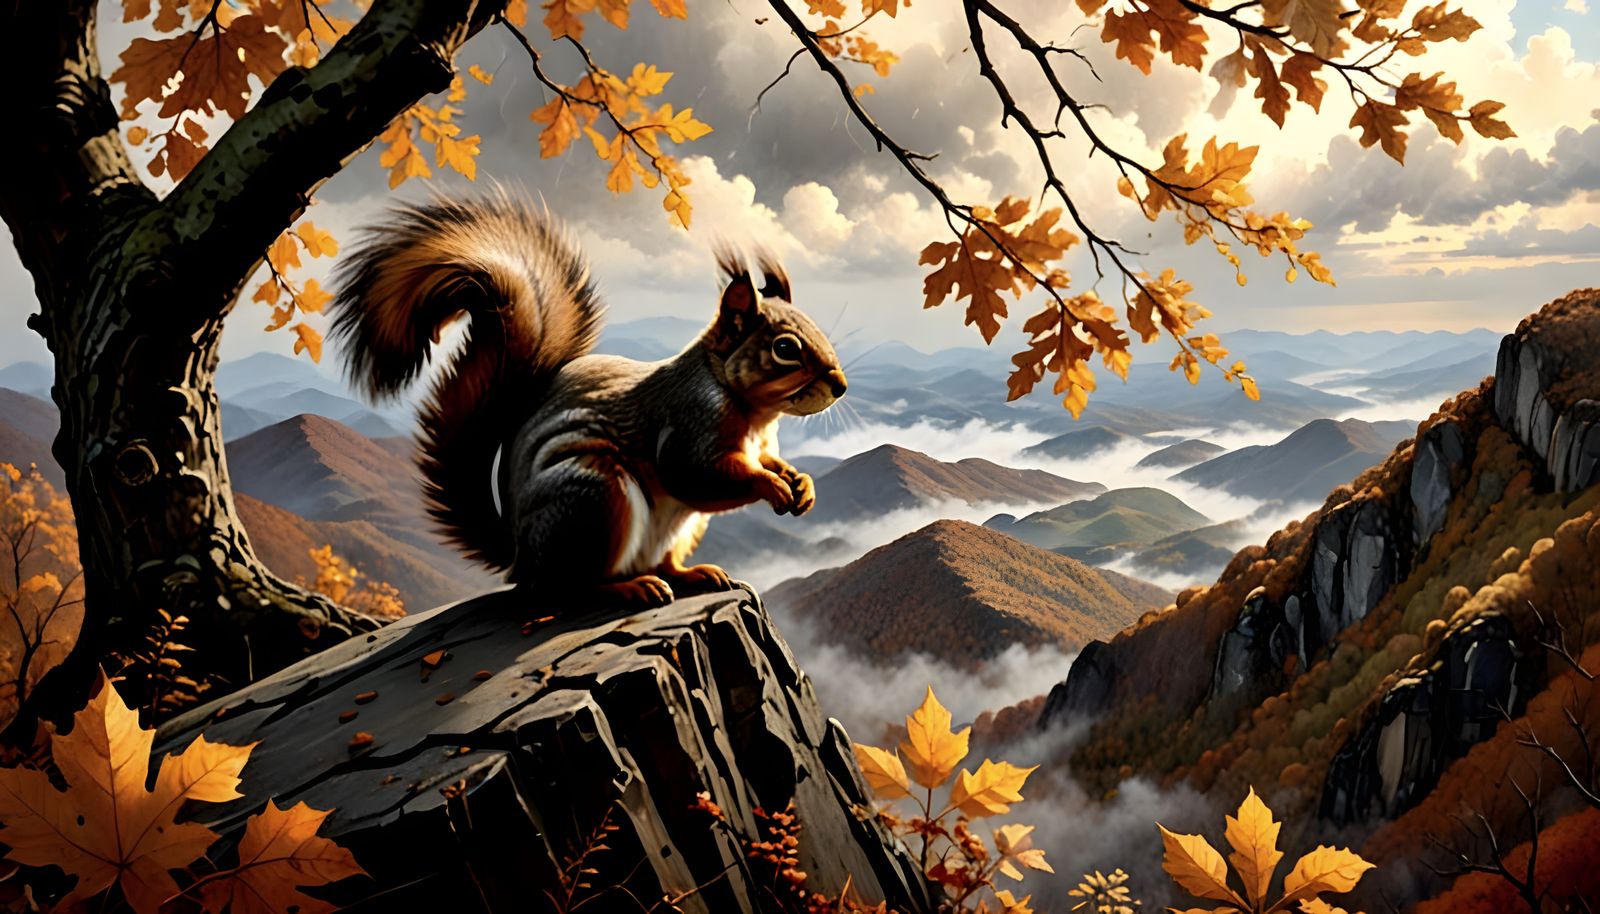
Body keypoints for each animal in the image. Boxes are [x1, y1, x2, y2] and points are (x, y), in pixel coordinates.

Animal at [328, 193, 847, 608]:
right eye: (785, 348)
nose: (840, 385)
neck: (754, 412)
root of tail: (519, 556)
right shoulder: (689, 421)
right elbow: (695, 474)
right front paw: (771, 487)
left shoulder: (760, 444)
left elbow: (770, 462)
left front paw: (800, 484)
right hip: (594, 498)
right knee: (564, 587)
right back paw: (627, 589)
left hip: (672, 528)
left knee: (658, 564)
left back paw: (693, 574)